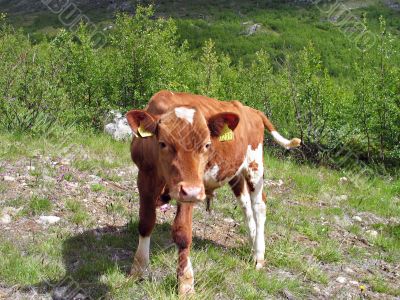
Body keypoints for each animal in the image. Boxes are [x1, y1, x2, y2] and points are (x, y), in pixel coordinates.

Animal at [126, 90, 300, 294]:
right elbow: (146, 223)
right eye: (162, 143)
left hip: (255, 165)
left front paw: (185, 284)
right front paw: (138, 270)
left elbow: (183, 233)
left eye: (207, 145)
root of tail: (251, 110)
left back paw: (259, 255)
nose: (192, 191)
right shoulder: (145, 178)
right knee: (246, 206)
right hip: (235, 173)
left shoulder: (191, 189)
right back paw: (252, 245)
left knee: (259, 206)